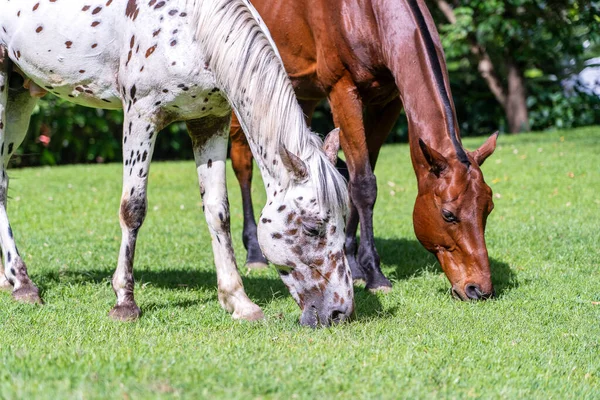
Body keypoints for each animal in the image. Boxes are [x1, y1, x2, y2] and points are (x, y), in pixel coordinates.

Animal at [0, 0, 354, 326]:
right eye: (312, 228)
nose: (339, 312)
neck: (190, 25)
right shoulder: (141, 114)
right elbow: (133, 209)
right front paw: (125, 302)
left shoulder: (209, 121)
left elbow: (218, 211)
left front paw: (239, 302)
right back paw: (24, 285)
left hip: (20, 94)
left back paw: (9, 279)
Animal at [229, 0, 496, 300]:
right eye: (448, 215)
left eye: (488, 208)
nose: (479, 288)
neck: (366, 13)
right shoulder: (343, 91)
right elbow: (364, 185)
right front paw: (374, 274)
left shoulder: (387, 102)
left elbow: (356, 177)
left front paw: (353, 262)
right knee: (243, 167)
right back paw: (254, 253)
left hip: (299, 95)